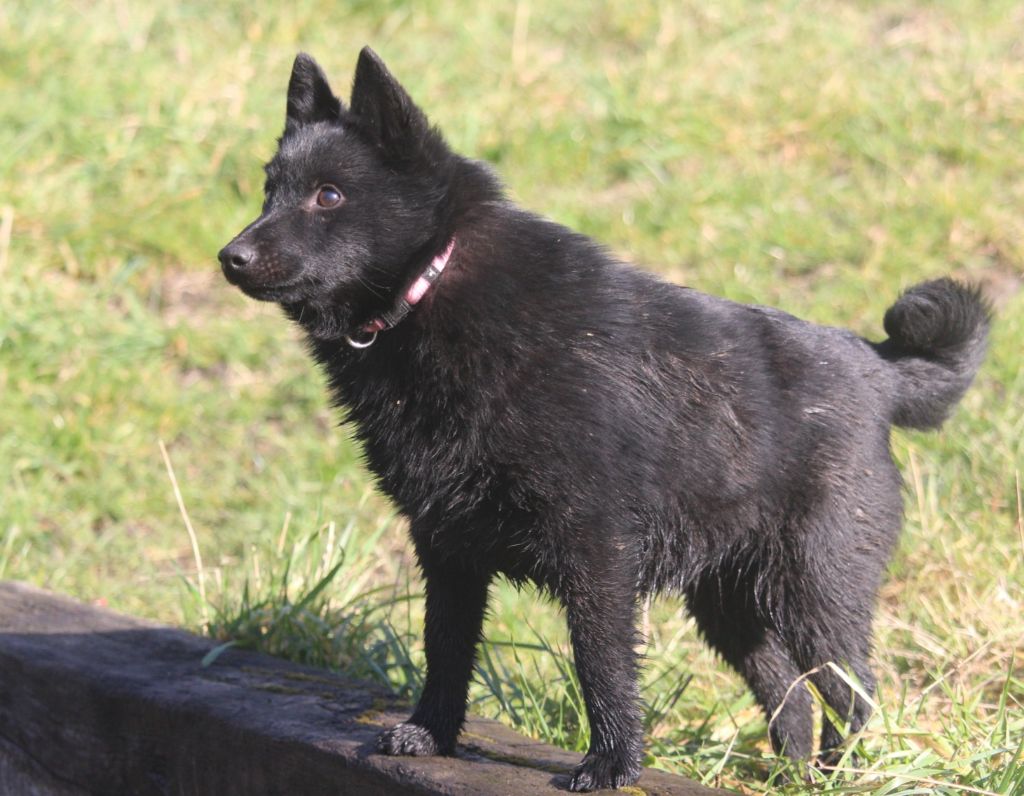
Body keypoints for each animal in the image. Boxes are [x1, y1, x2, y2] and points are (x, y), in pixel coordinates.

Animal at [218, 49, 991, 786]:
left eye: (329, 195)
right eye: (269, 189)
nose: (230, 257)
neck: (432, 289)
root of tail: (877, 368)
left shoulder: (596, 552)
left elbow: (602, 665)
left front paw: (613, 766)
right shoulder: (447, 546)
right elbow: (445, 647)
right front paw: (432, 734)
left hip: (813, 590)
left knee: (852, 694)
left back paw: (840, 774)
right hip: (731, 602)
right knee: (792, 696)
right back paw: (793, 779)